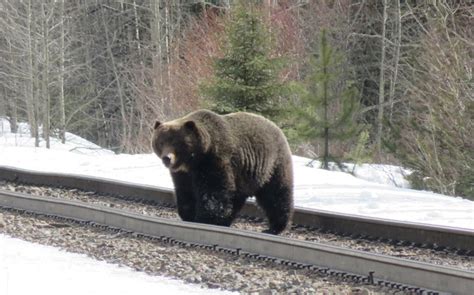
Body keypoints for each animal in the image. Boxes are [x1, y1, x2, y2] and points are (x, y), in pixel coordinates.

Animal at [152, 110, 292, 235]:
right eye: (161, 142)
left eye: (176, 142)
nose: (167, 158)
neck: (195, 159)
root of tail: (277, 127)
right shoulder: (183, 174)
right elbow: (185, 191)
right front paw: (189, 214)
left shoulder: (215, 161)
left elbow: (214, 193)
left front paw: (206, 219)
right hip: (244, 177)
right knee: (238, 198)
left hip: (272, 165)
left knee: (276, 195)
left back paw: (275, 227)